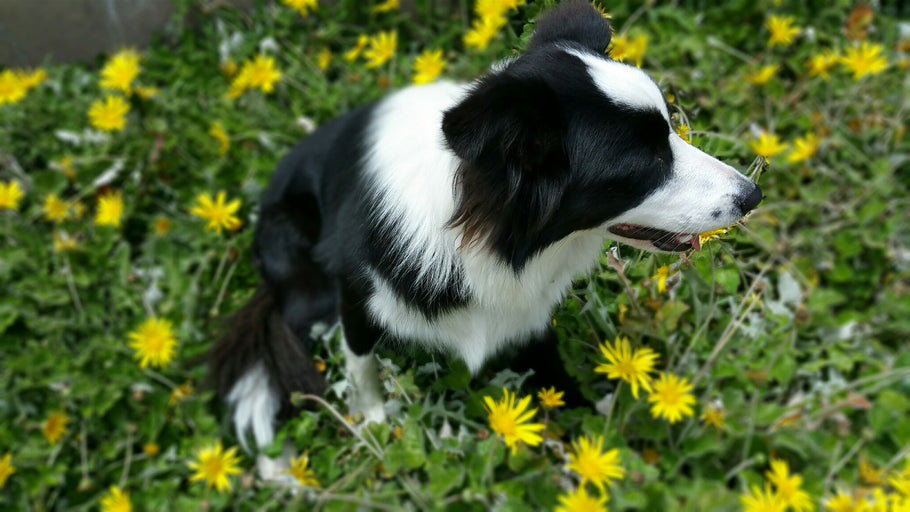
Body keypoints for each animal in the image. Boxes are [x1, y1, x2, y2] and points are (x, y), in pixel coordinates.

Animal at [207, 0, 764, 478]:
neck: (484, 237)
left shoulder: (526, 313)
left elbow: (556, 378)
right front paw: (371, 425)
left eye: (670, 129)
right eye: (646, 163)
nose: (753, 195)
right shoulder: (356, 297)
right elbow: (360, 362)